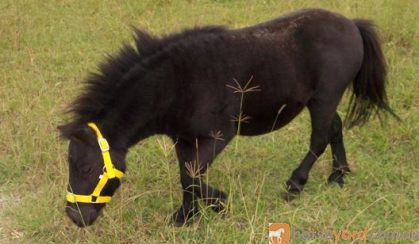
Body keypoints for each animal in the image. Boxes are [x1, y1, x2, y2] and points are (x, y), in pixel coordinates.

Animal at [58, 9, 398, 227]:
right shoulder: (184, 140)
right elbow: (187, 175)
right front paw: (187, 216)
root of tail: (351, 23)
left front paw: (217, 202)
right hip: (323, 102)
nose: (76, 217)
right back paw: (338, 175)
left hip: (325, 98)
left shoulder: (218, 136)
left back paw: (295, 184)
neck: (177, 83)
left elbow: (191, 176)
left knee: (319, 138)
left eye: (86, 167)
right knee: (334, 129)